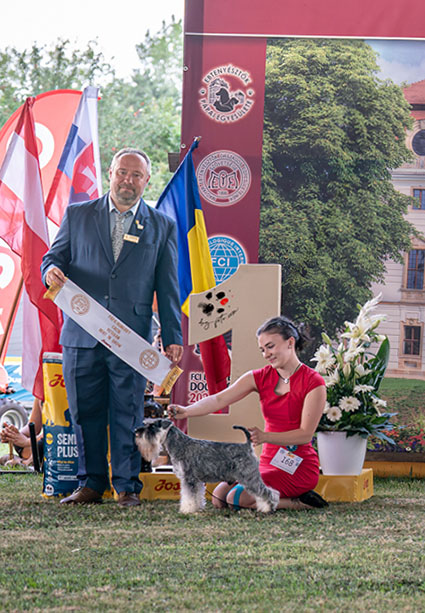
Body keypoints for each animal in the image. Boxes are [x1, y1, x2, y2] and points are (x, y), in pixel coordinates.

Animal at [134, 419, 280, 514]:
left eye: (152, 426)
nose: (136, 430)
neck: (180, 444)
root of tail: (247, 446)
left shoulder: (189, 479)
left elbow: (188, 496)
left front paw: (187, 509)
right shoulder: (196, 481)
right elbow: (197, 495)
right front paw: (197, 507)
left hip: (249, 478)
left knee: (268, 492)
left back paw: (268, 508)